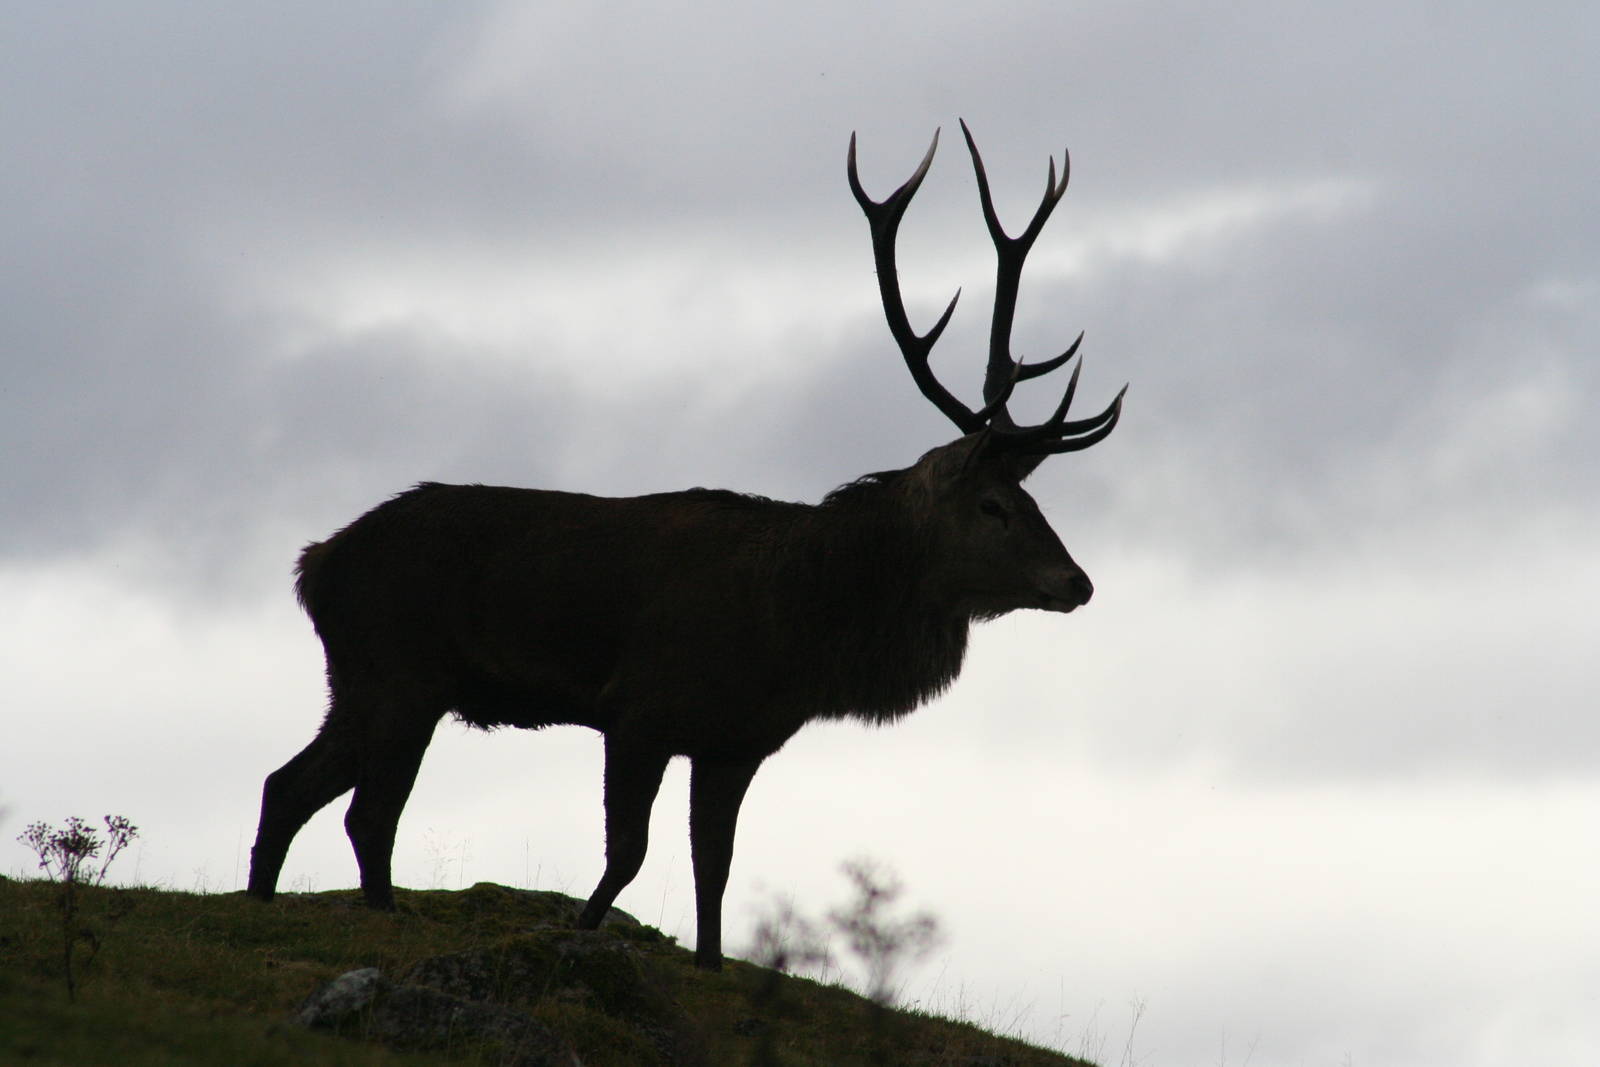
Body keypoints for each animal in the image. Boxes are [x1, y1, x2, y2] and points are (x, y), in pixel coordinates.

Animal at [246, 120, 1125, 971]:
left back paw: (261, 902)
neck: (794, 631)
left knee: (287, 784)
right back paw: (379, 913)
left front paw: (707, 962)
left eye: (1034, 497)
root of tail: (314, 565)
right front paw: (584, 931)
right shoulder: (639, 710)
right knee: (367, 812)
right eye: (993, 504)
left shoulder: (735, 741)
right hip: (403, 671)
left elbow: (716, 864)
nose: (1077, 581)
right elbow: (628, 854)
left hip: (362, 680)